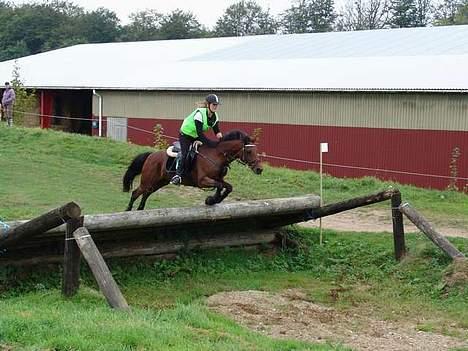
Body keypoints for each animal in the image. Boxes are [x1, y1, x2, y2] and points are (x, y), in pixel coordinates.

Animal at [122, 130, 264, 210]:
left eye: (256, 150)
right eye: (249, 151)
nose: (259, 169)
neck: (217, 155)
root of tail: (151, 156)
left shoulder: (218, 178)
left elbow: (228, 187)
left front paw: (214, 199)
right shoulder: (202, 181)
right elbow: (219, 186)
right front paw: (212, 199)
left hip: (159, 182)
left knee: (146, 194)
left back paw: (139, 210)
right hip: (148, 181)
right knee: (135, 193)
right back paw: (128, 211)